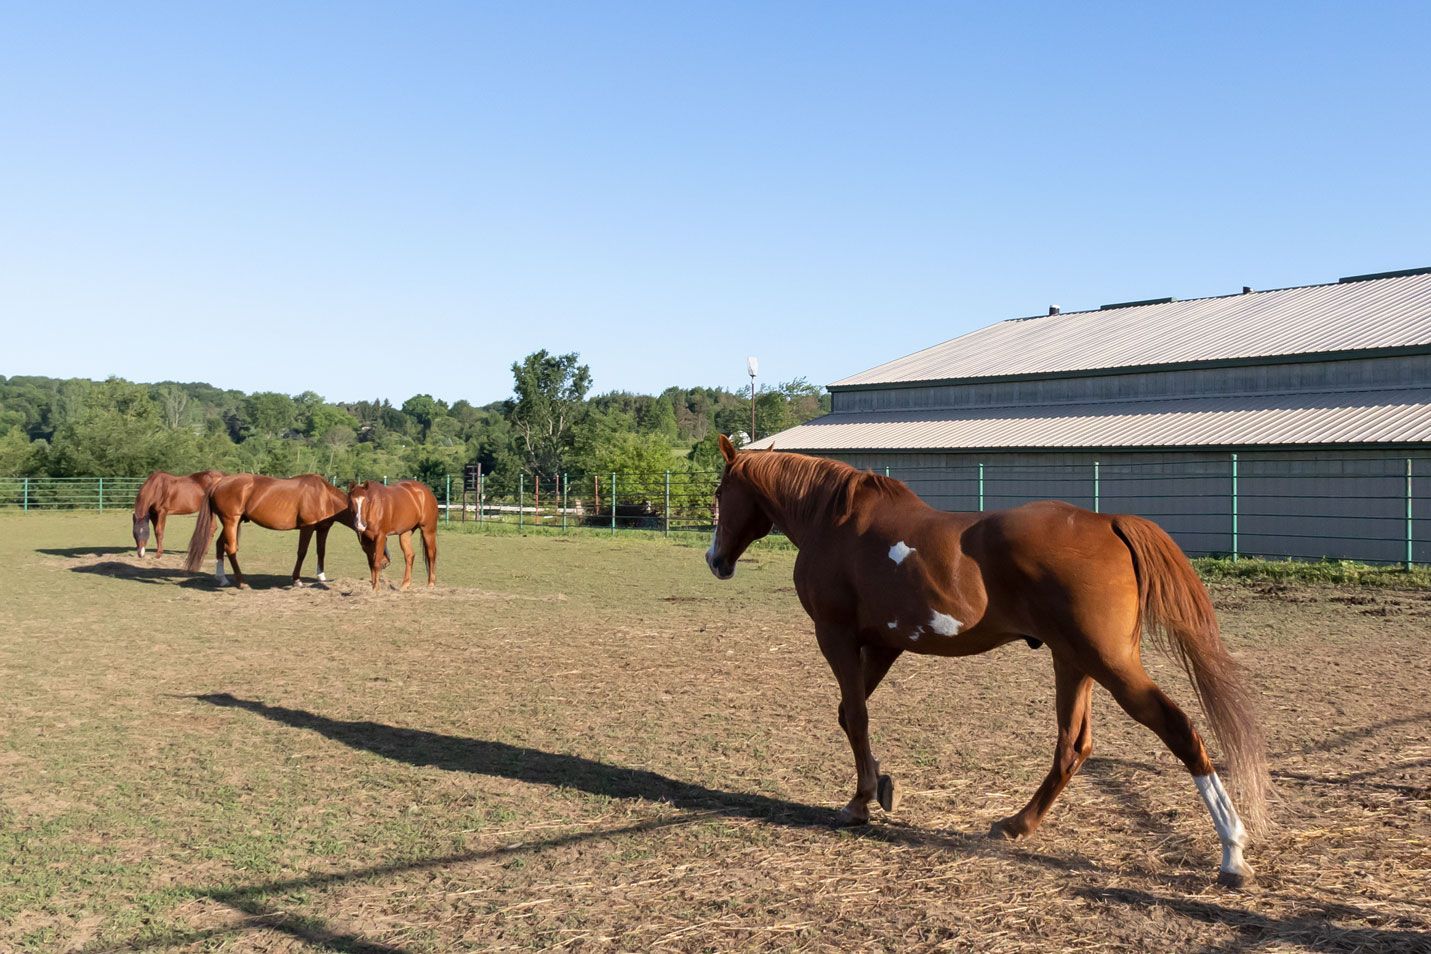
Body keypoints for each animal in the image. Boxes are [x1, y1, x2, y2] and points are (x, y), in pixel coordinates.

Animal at [182, 473, 352, 589]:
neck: (323, 495)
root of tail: (219, 482)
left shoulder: (323, 529)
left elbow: (321, 551)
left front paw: (322, 577)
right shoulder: (307, 527)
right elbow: (302, 552)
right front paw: (297, 580)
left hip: (232, 523)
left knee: (219, 544)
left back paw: (222, 579)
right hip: (231, 521)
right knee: (230, 548)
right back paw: (241, 582)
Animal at [704, 435, 1269, 888]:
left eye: (719, 494)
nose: (715, 560)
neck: (835, 521)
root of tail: (1108, 522)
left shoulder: (837, 635)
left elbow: (855, 717)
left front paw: (860, 801)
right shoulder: (883, 643)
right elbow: (851, 713)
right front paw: (881, 786)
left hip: (1109, 664)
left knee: (1177, 729)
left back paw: (1232, 851)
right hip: (1073, 661)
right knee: (1073, 746)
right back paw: (1017, 824)